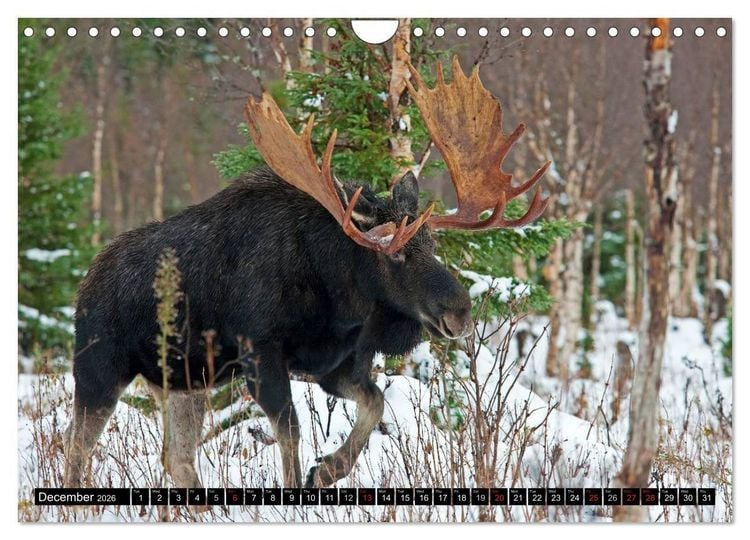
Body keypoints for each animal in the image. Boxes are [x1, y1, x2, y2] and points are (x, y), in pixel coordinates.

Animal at [63, 55, 549, 490]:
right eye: (394, 255)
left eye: (432, 245)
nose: (460, 312)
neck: (338, 297)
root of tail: (84, 285)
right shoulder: (260, 353)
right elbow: (291, 430)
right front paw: (302, 485)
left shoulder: (337, 363)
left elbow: (375, 403)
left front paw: (328, 470)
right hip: (99, 369)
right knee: (77, 447)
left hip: (184, 381)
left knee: (176, 458)